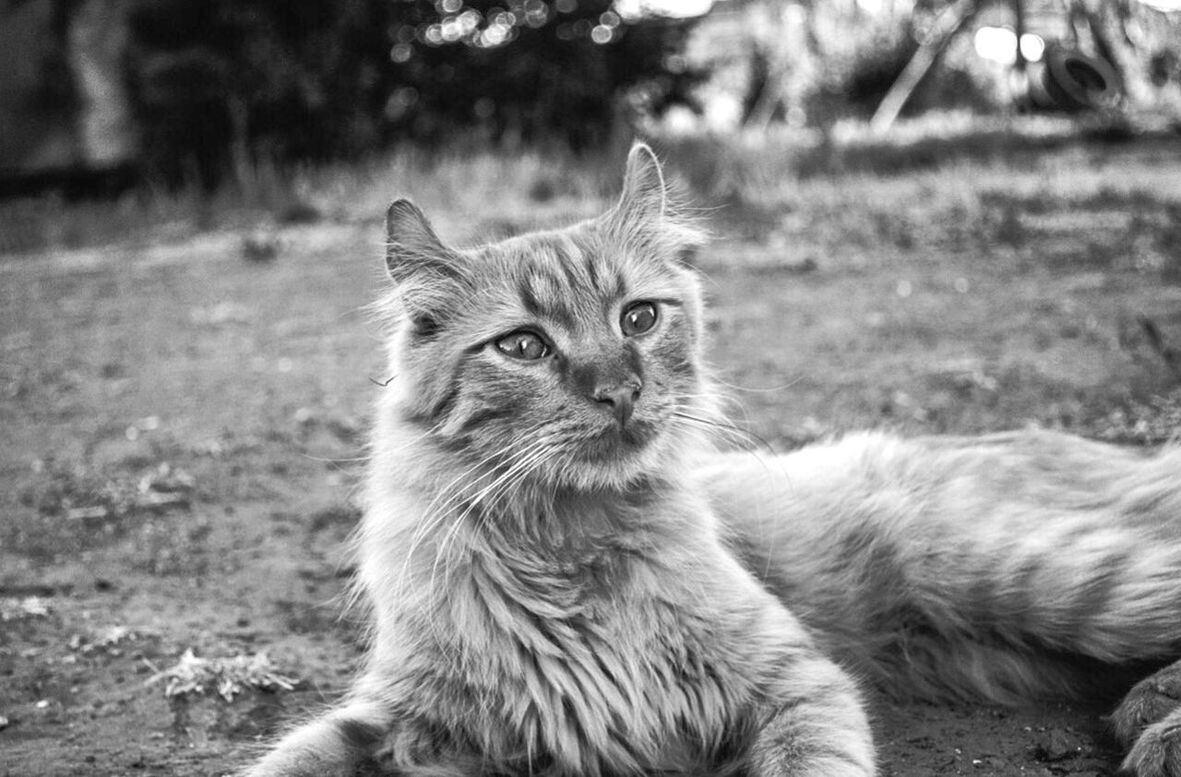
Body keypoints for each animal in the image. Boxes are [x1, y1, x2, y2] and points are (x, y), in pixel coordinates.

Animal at [246, 143, 1181, 774]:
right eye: (522, 345)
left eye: (638, 318)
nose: (618, 389)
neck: (569, 548)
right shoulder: (403, 714)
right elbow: (290, 757)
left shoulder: (795, 683)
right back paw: (1145, 704)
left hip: (1041, 575)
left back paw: (1155, 724)